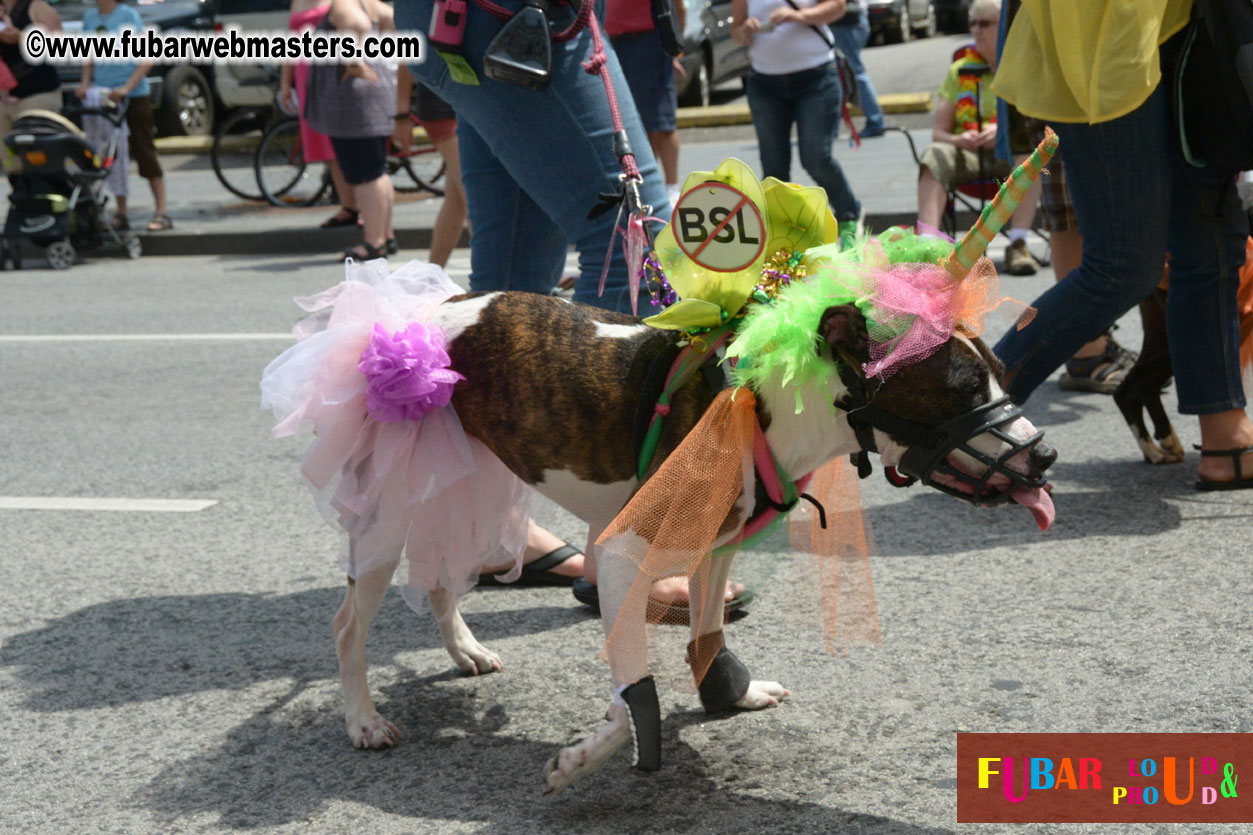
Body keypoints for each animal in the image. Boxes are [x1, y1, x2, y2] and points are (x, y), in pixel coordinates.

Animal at [328, 289, 1052, 792]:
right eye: (963, 388)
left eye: (1000, 371)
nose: (1045, 456)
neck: (773, 401)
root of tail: (426, 313)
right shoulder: (622, 556)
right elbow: (632, 700)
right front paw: (579, 762)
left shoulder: (717, 547)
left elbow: (707, 636)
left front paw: (730, 695)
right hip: (393, 510)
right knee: (349, 623)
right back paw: (362, 719)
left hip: (466, 481)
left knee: (439, 576)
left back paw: (465, 650)